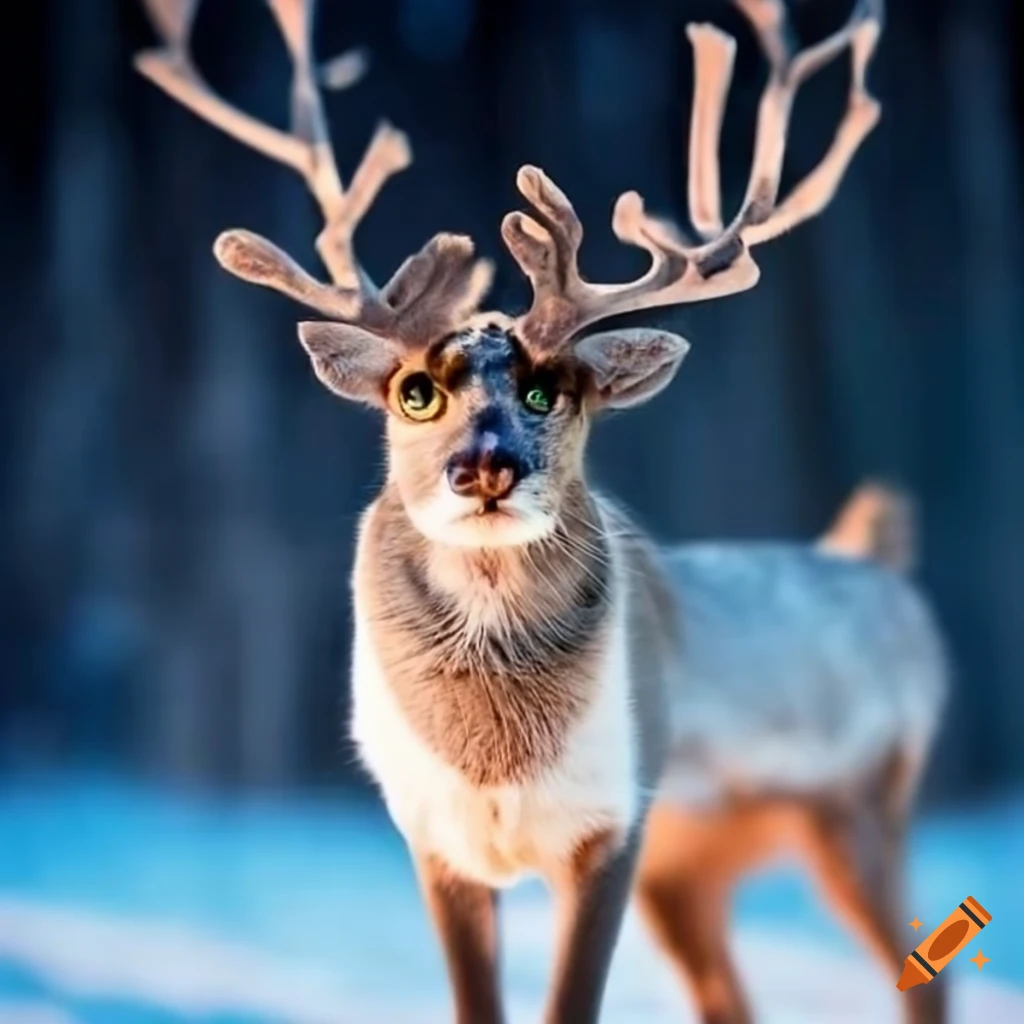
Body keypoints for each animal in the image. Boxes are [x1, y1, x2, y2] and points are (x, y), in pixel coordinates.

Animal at [135, 0, 949, 1021]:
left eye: (547, 392)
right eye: (414, 392)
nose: (486, 466)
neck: (494, 758)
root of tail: (875, 560)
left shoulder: (614, 824)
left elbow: (570, 1003)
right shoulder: (435, 838)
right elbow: (475, 1003)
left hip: (862, 804)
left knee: (927, 980)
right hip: (699, 864)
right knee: (733, 997)